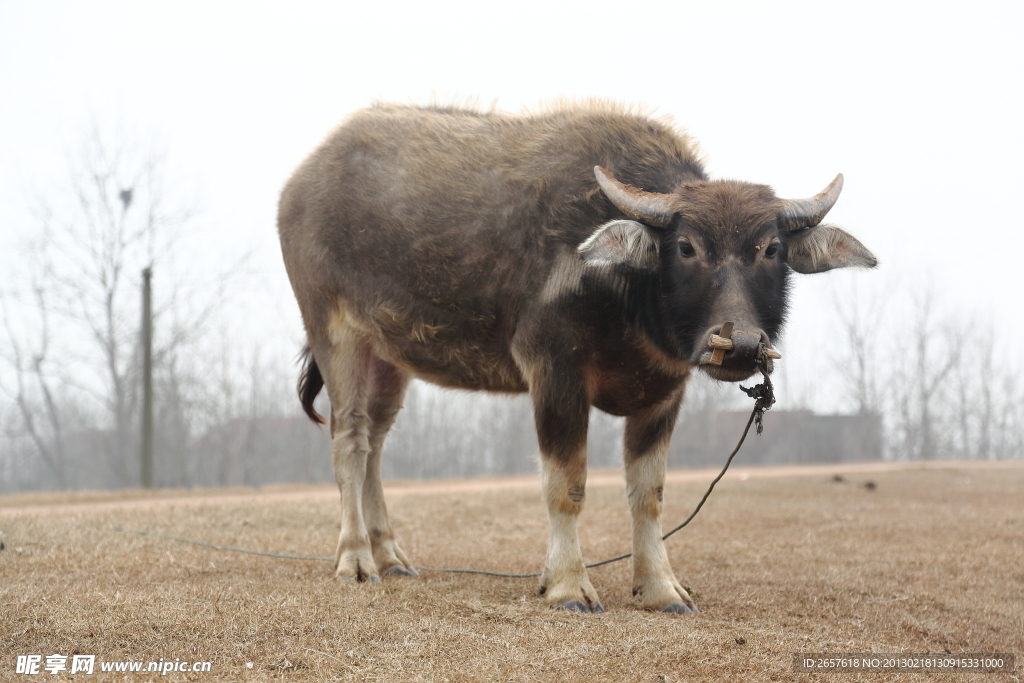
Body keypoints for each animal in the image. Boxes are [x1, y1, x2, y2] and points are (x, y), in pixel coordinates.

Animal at [280, 101, 880, 614]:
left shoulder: (665, 391)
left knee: (376, 443)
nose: (743, 344)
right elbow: (565, 485)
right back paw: (356, 559)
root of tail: (299, 185)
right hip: (335, 332)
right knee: (349, 437)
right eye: (686, 247)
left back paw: (391, 555)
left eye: (771, 250)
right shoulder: (555, 375)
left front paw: (661, 588)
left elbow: (649, 494)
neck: (626, 292)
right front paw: (568, 585)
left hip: (389, 355)